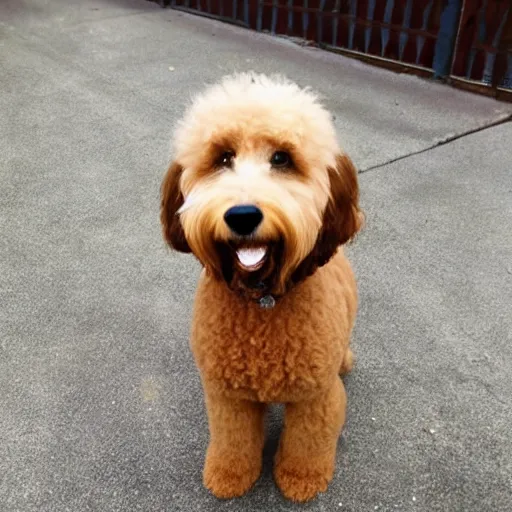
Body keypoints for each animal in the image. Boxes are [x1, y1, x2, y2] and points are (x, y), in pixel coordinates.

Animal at [158, 71, 362, 500]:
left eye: (282, 159)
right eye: (223, 157)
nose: (242, 215)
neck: (263, 298)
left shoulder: (317, 398)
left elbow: (308, 441)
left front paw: (301, 480)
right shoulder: (228, 397)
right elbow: (232, 439)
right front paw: (229, 475)